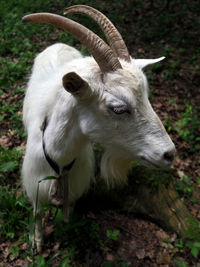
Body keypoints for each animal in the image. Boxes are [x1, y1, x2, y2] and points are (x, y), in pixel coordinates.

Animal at [22, 5, 175, 252]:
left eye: (146, 96)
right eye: (118, 108)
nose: (169, 154)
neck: (59, 159)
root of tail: (59, 44)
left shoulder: (75, 186)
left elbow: (68, 211)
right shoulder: (34, 183)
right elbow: (36, 212)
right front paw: (36, 242)